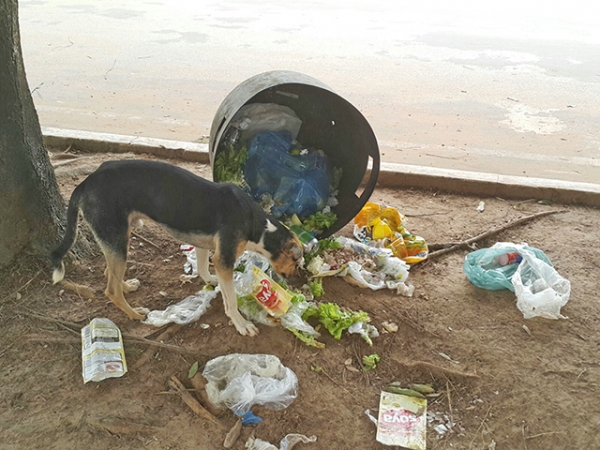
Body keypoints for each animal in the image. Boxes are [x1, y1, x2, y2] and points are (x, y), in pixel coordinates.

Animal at [50, 160, 304, 336]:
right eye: (295, 261)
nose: (294, 281)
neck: (257, 226)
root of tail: (86, 183)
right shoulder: (224, 260)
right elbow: (231, 301)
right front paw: (242, 324)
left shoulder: (204, 245)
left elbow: (203, 266)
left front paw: (210, 280)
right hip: (117, 238)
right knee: (110, 290)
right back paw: (135, 314)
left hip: (117, 238)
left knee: (108, 273)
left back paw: (127, 286)